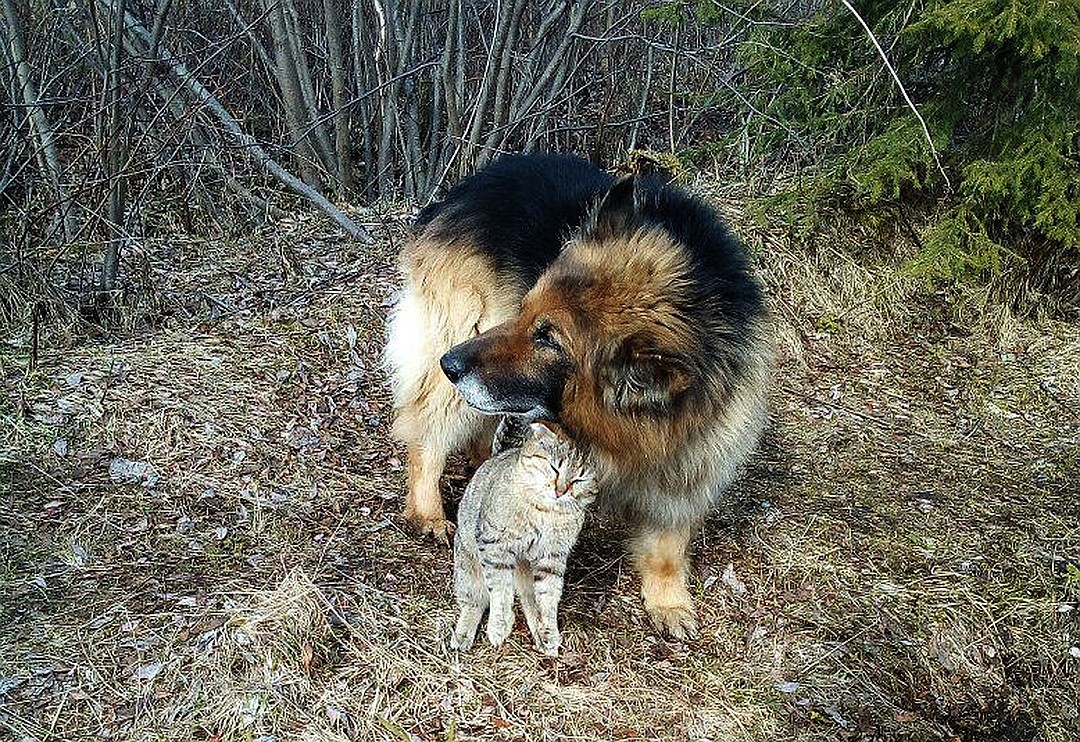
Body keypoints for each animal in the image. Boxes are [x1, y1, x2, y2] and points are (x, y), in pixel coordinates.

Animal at [449, 421, 600, 660]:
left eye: (579, 479)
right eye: (555, 468)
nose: (560, 491)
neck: (546, 510)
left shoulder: (552, 557)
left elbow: (548, 597)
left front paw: (549, 631)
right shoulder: (496, 547)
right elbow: (500, 589)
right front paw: (499, 625)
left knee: (530, 602)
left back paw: (539, 632)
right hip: (467, 568)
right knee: (474, 602)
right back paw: (464, 633)